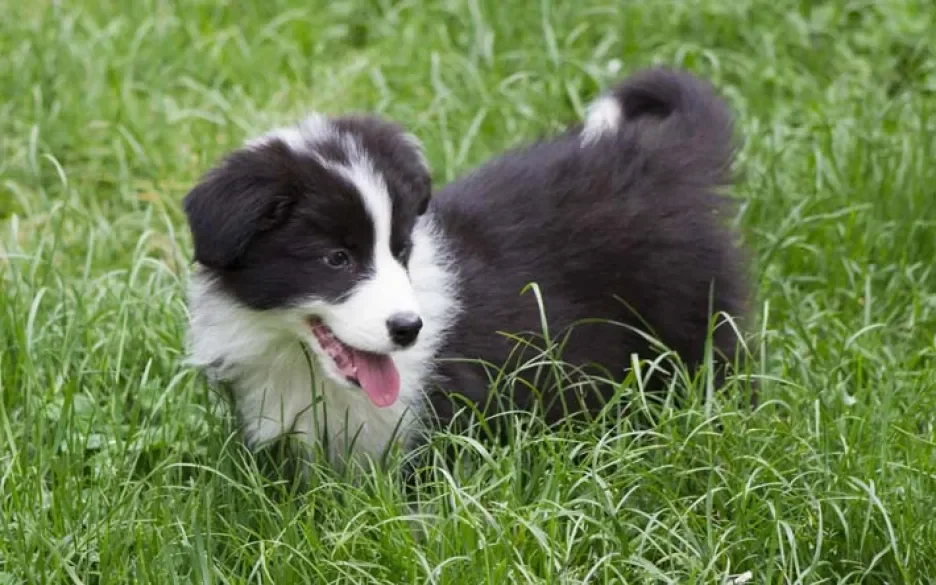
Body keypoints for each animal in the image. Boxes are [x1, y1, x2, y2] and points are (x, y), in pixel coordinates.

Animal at [183, 67, 748, 470]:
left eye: (401, 249)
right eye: (336, 259)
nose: (409, 329)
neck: (307, 369)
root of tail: (660, 159)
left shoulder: (449, 422)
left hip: (692, 322)